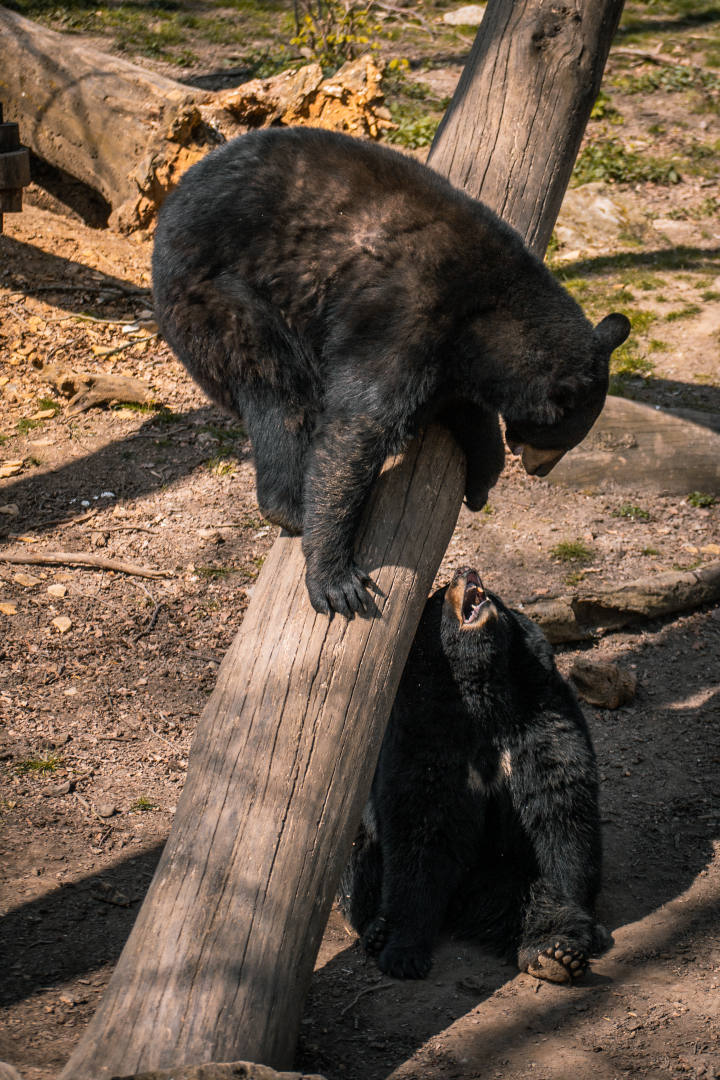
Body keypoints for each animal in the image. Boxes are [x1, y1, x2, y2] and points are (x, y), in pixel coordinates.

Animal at [152, 127, 630, 617]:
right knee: (276, 391)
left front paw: (481, 480)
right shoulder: (406, 315)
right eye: (559, 441)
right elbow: (357, 427)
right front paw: (334, 578)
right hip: (219, 299)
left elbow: (460, 409)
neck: (489, 315)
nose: (541, 471)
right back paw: (289, 505)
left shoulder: (453, 358)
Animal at [338, 566, 611, 983]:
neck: (483, 698)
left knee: (527, 896)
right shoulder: (426, 740)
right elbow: (419, 831)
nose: (465, 571)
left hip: (493, 874)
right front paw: (403, 952)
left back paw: (553, 952)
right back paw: (375, 931)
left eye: (495, 594)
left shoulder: (541, 724)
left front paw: (586, 926)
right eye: (438, 596)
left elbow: (559, 813)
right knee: (357, 859)